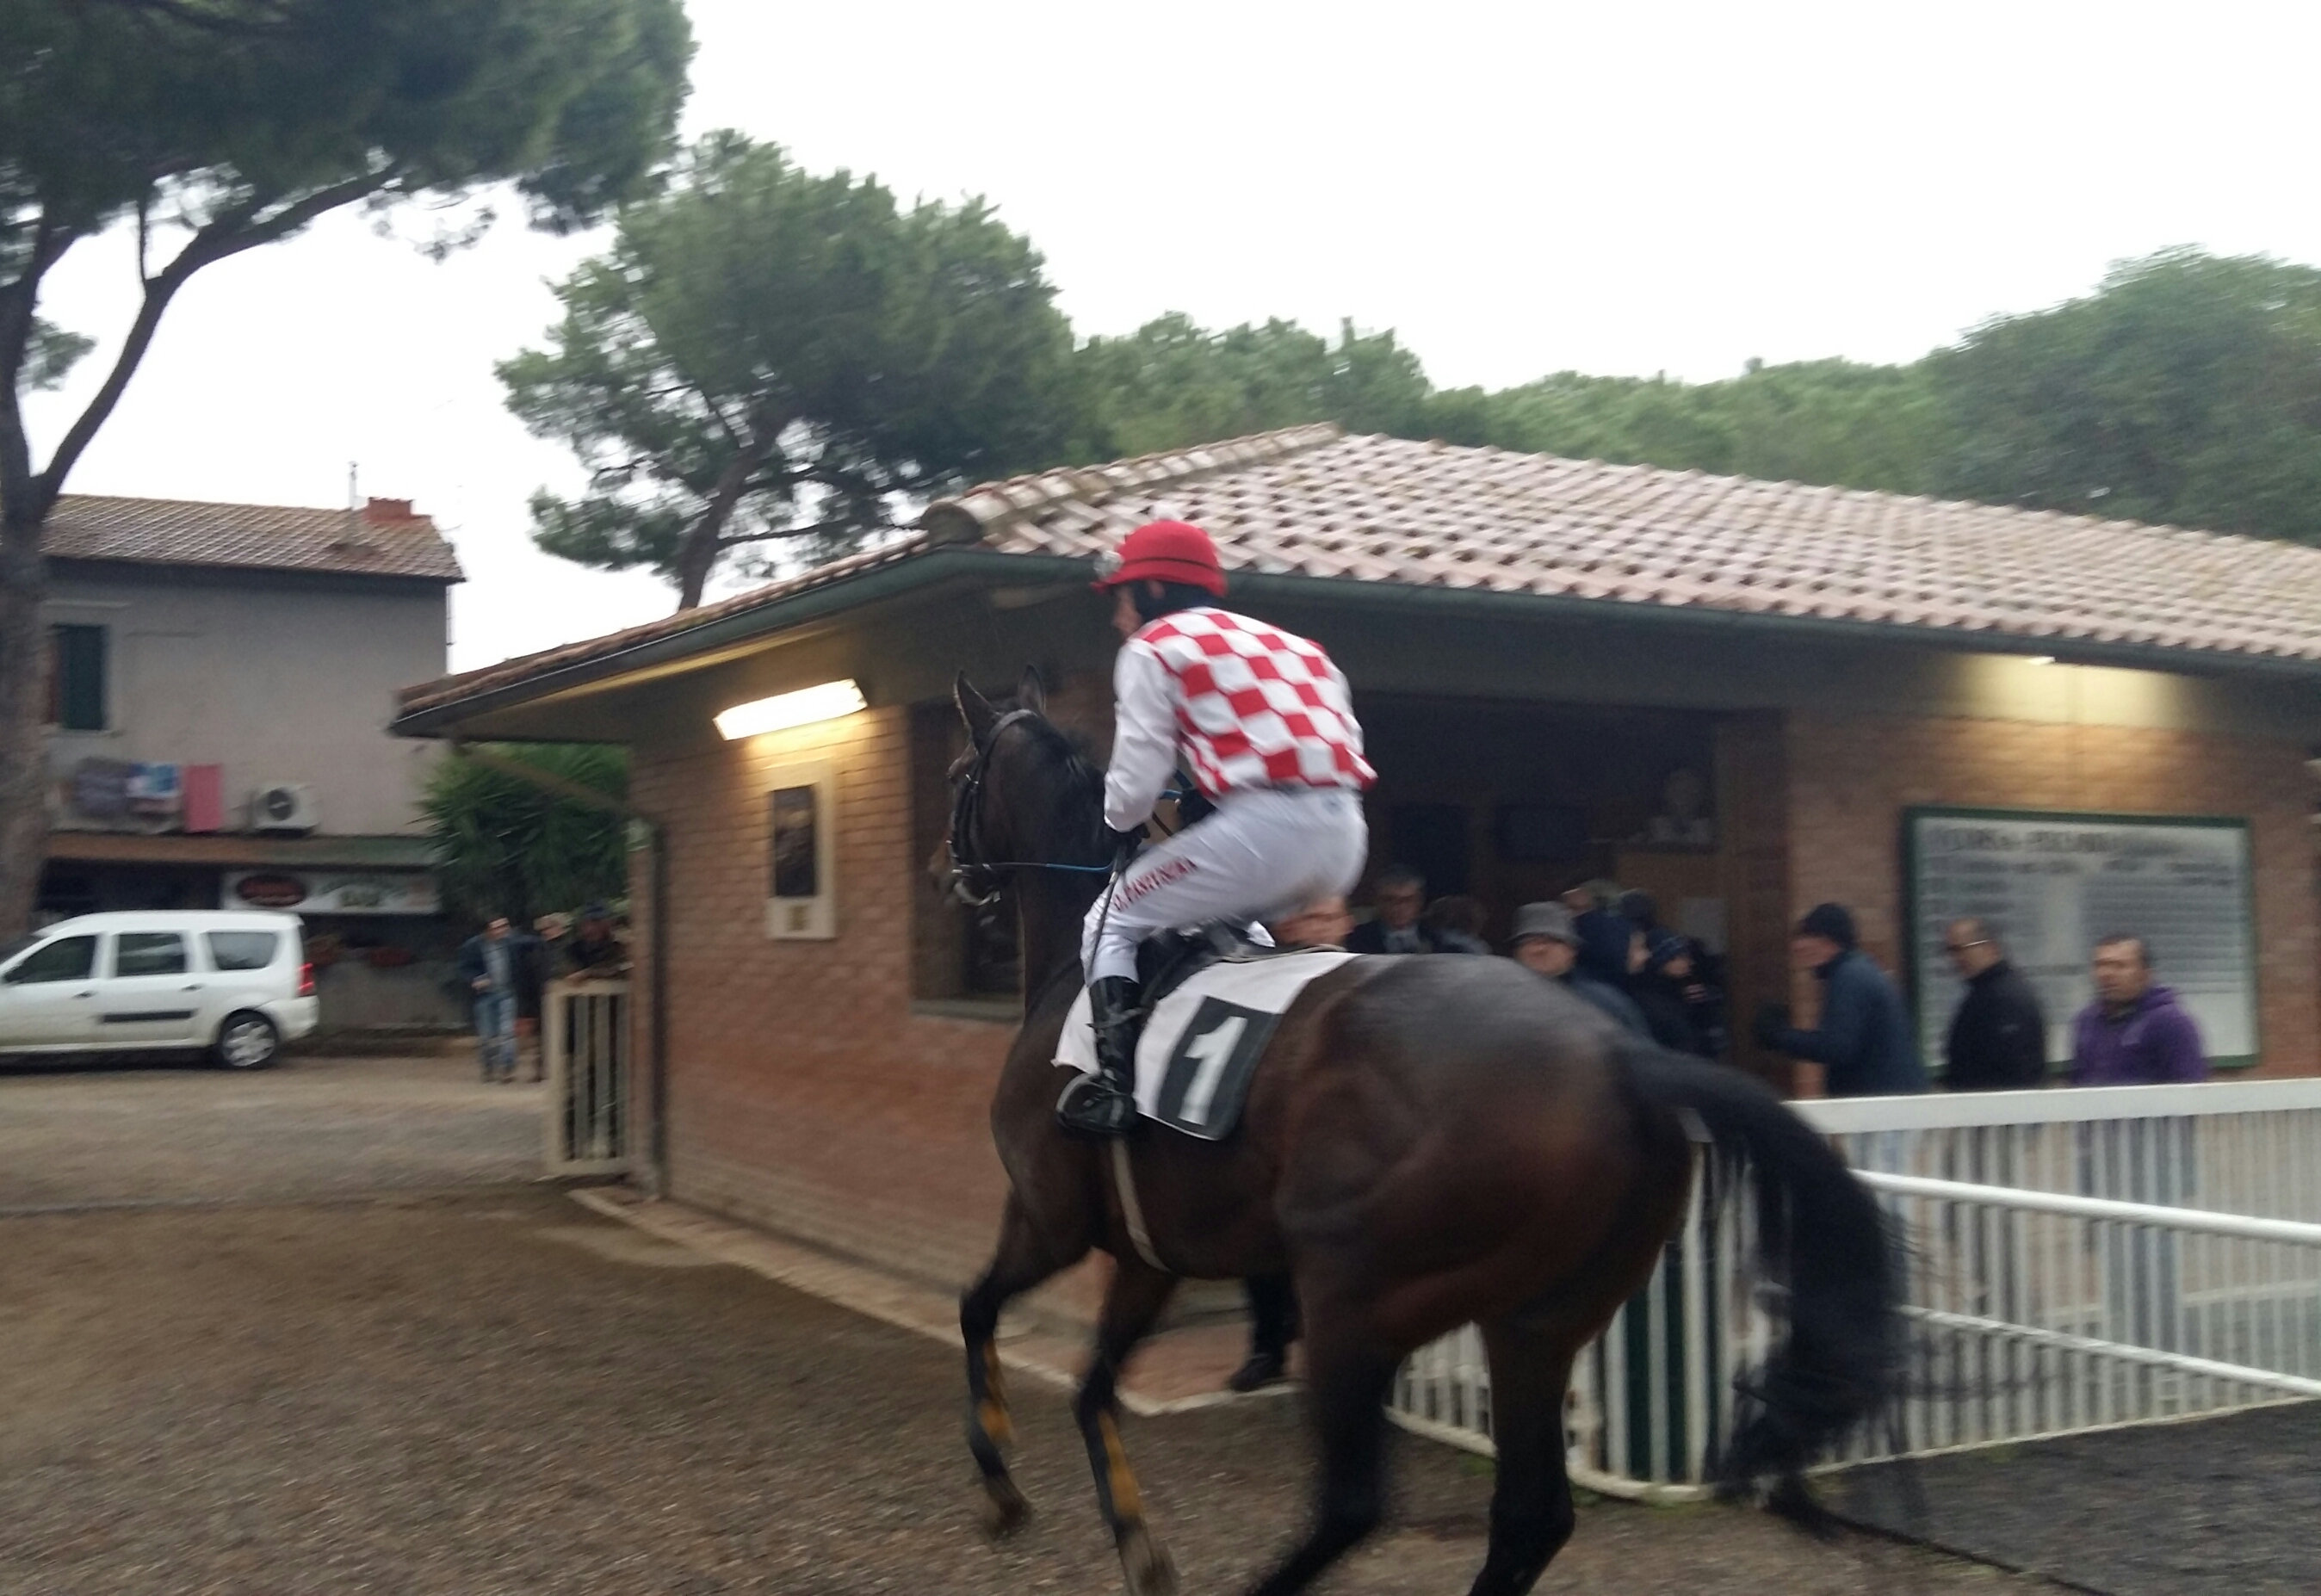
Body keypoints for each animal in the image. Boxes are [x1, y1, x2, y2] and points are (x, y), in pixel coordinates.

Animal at [946, 672, 1903, 1596]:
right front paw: (1138, 1546)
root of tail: (1622, 1056)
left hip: (1355, 1298)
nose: (950, 873)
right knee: (1530, 1515)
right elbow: (1090, 1390)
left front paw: (999, 1484)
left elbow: (977, 1308)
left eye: (959, 774)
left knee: (1353, 1506)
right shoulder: (1150, 1255)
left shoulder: (1049, 1219)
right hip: (1536, 1320)